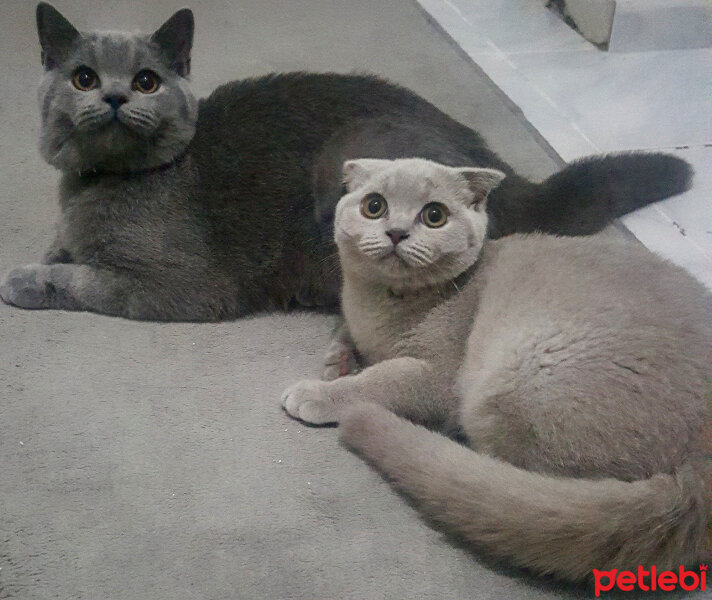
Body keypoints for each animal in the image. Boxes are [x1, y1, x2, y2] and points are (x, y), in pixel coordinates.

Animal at [0, 4, 696, 322]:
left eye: (146, 81)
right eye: (84, 77)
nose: (116, 97)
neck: (98, 186)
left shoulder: (179, 287)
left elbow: (85, 281)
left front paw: (26, 279)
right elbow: (63, 248)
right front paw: (51, 252)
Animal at [280, 158, 708, 580]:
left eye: (434, 216)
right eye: (374, 206)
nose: (397, 232)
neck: (379, 306)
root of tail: (700, 466)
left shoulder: (438, 377)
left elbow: (383, 379)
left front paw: (317, 392)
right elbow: (344, 332)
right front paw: (336, 362)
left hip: (510, 386)